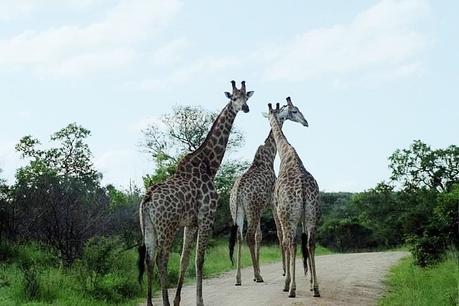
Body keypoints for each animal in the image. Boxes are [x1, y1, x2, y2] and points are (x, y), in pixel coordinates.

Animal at [138, 80, 256, 304]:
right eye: (234, 98)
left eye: (246, 96)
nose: (245, 108)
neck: (210, 164)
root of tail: (147, 199)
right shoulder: (206, 217)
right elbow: (199, 260)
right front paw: (198, 301)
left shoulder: (190, 223)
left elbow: (184, 259)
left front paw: (178, 300)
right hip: (167, 227)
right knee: (161, 259)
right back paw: (164, 302)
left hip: (148, 227)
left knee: (149, 259)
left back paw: (150, 302)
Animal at [229, 103, 310, 286]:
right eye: (294, 111)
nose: (306, 122)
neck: (268, 158)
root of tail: (238, 192)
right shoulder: (272, 204)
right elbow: (279, 234)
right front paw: (283, 271)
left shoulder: (261, 208)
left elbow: (260, 236)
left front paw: (256, 272)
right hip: (251, 209)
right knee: (249, 236)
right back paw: (258, 277)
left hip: (238, 211)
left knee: (239, 237)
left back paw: (238, 278)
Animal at [266, 97, 320, 298]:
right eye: (295, 110)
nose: (306, 122)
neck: (286, 153)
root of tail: (303, 190)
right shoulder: (303, 218)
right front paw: (311, 283)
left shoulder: (278, 212)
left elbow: (284, 242)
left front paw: (287, 282)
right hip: (312, 214)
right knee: (310, 243)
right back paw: (316, 288)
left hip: (288, 216)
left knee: (291, 243)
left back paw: (291, 288)